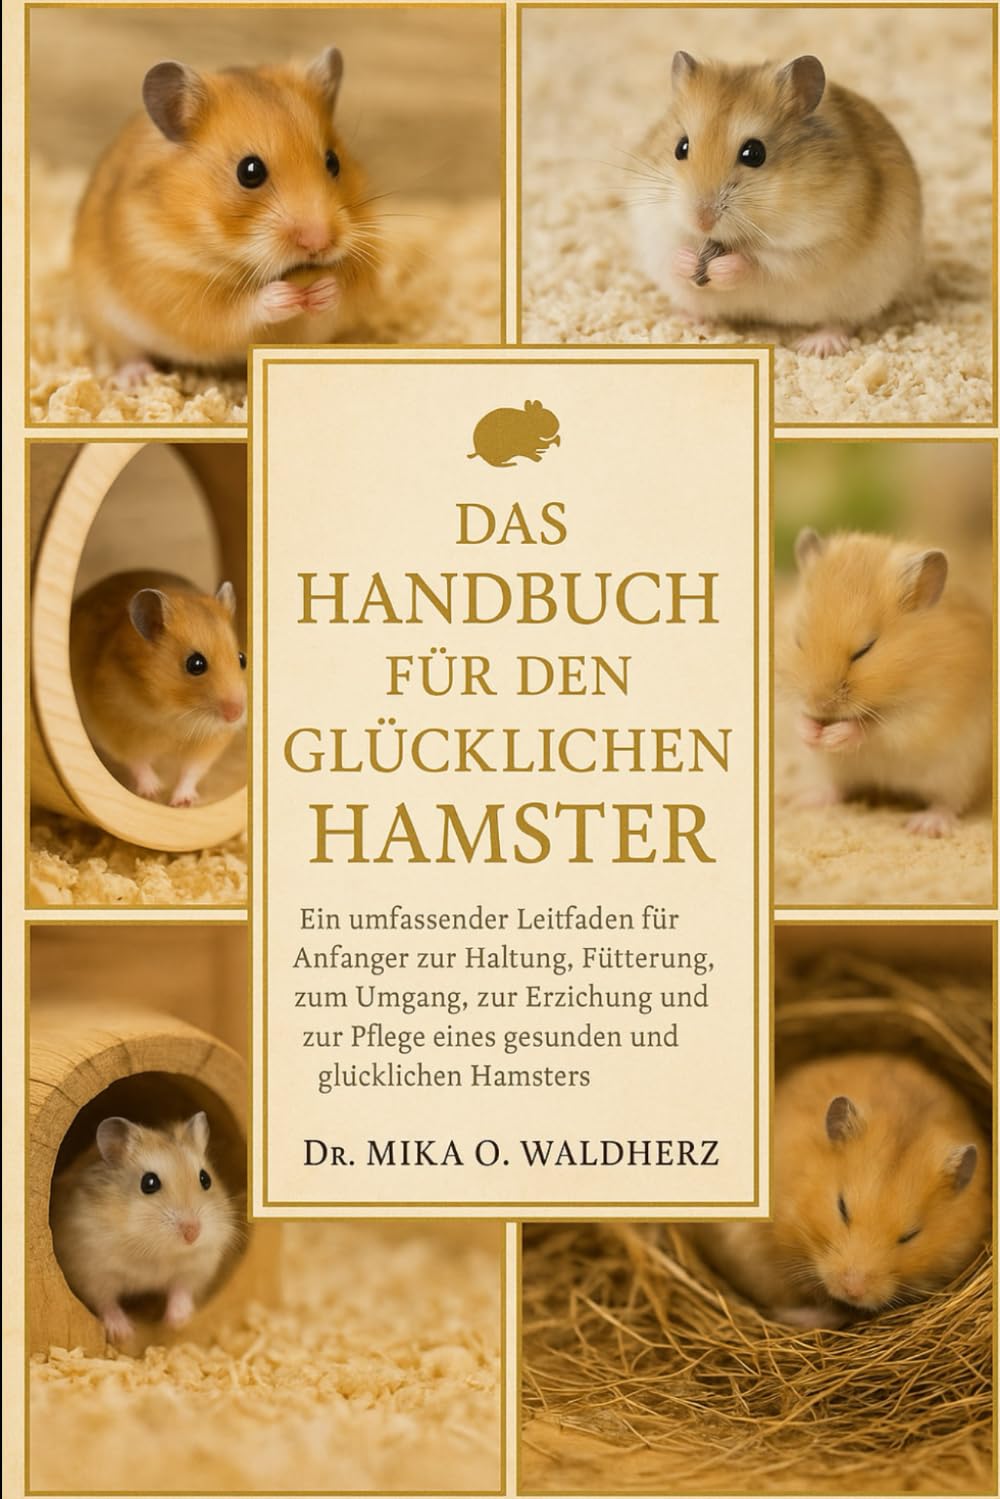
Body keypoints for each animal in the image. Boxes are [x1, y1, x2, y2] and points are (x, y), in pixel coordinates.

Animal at [50, 1112, 238, 1347]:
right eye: (149, 1183)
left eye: (206, 1179)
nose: (192, 1233)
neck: (155, 1250)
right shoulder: (90, 1270)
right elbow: (106, 1302)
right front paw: (124, 1333)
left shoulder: (198, 1264)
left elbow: (182, 1289)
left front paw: (177, 1321)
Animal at [70, 570, 247, 807]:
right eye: (195, 664)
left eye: (242, 658)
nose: (236, 714)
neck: (175, 714)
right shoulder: (116, 728)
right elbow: (138, 761)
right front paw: (154, 791)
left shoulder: (209, 740)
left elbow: (191, 770)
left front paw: (181, 802)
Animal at [73, 46, 380, 370]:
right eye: (249, 171)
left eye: (333, 161)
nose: (318, 243)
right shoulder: (170, 285)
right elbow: (234, 312)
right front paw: (282, 296)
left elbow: (342, 297)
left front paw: (325, 289)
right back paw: (139, 374)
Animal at [630, 53, 922, 356]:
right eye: (681, 147)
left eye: (754, 153)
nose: (702, 221)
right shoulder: (654, 228)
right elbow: (672, 253)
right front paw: (687, 260)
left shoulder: (816, 251)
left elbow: (759, 265)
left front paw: (723, 268)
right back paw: (690, 321)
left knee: (841, 321)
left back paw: (816, 346)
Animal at [783, 529, 992, 837]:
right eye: (799, 640)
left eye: (865, 649)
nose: (820, 705)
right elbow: (797, 715)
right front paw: (811, 733)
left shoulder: (923, 716)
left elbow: (875, 727)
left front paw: (834, 736)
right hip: (829, 767)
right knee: (834, 788)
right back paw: (799, 799)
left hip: (959, 770)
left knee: (949, 802)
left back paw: (924, 825)